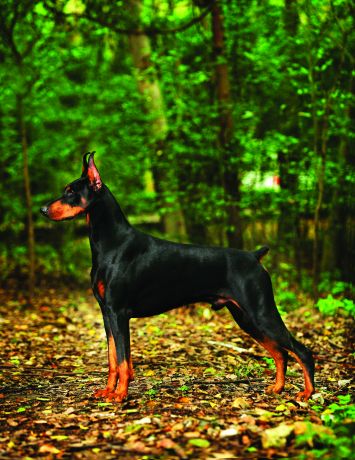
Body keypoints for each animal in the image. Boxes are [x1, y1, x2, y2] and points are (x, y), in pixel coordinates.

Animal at [40, 153, 316, 400]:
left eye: (71, 192)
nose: (42, 209)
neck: (111, 242)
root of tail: (254, 256)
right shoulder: (107, 314)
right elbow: (112, 358)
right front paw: (108, 391)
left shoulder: (118, 313)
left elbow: (123, 360)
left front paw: (120, 395)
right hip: (245, 317)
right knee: (281, 353)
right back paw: (277, 388)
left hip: (261, 312)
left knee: (302, 351)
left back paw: (307, 393)